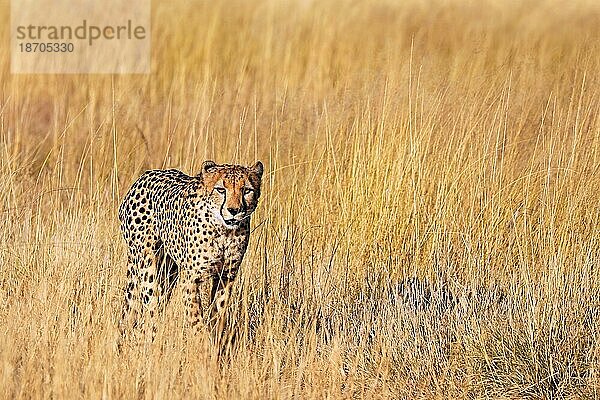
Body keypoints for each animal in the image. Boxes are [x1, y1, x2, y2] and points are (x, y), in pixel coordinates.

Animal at [118, 159, 264, 338]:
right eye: (221, 190)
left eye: (247, 191)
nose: (234, 210)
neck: (224, 232)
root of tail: (145, 175)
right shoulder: (190, 278)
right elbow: (196, 319)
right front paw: (203, 343)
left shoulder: (226, 275)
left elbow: (218, 312)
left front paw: (217, 339)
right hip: (146, 263)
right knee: (150, 307)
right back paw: (152, 335)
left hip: (169, 271)